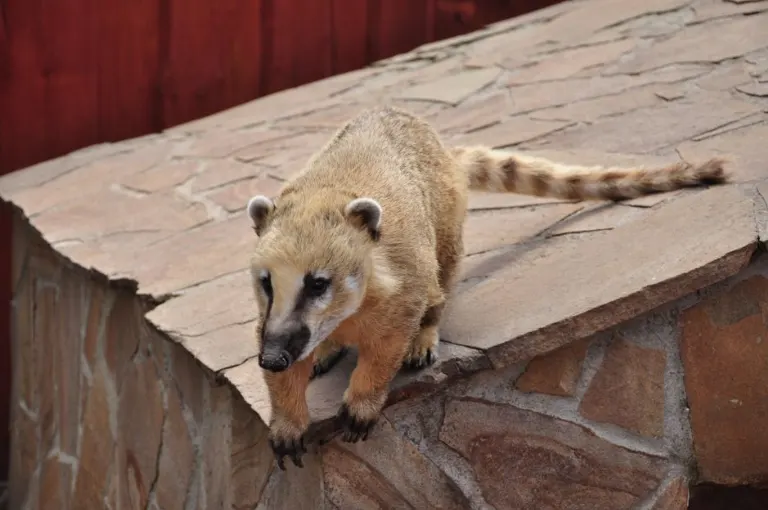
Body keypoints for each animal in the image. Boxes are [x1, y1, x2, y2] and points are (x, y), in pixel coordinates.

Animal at [246, 106, 728, 469]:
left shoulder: (402, 278)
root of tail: (441, 148)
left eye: (318, 284)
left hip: (446, 222)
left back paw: (425, 331)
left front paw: (364, 396)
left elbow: (390, 340)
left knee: (442, 278)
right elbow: (274, 342)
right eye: (266, 282)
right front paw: (287, 416)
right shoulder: (272, 321)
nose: (272, 359)